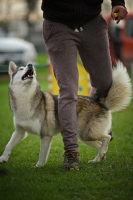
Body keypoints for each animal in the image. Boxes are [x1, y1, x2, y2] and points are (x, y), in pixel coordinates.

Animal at [0, 61, 131, 167]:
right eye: (21, 69)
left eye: (26, 67)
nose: (30, 65)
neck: (26, 98)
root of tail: (98, 101)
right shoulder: (20, 132)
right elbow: (8, 145)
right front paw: (3, 158)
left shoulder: (45, 135)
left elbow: (42, 154)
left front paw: (38, 166)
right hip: (85, 137)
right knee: (102, 145)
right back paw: (97, 159)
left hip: (87, 134)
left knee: (107, 138)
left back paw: (98, 157)